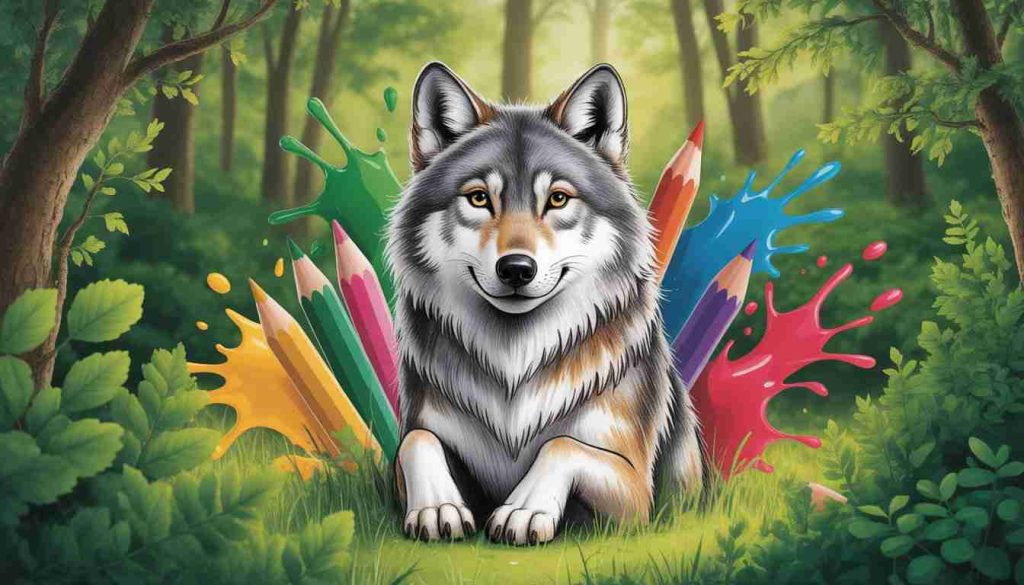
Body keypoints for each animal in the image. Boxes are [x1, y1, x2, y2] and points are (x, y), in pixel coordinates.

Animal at [385, 62, 704, 545]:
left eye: (557, 199)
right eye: (479, 198)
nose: (517, 269)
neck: (515, 365)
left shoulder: (635, 493)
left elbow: (561, 444)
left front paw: (524, 509)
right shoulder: (417, 446)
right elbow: (416, 441)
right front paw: (439, 507)